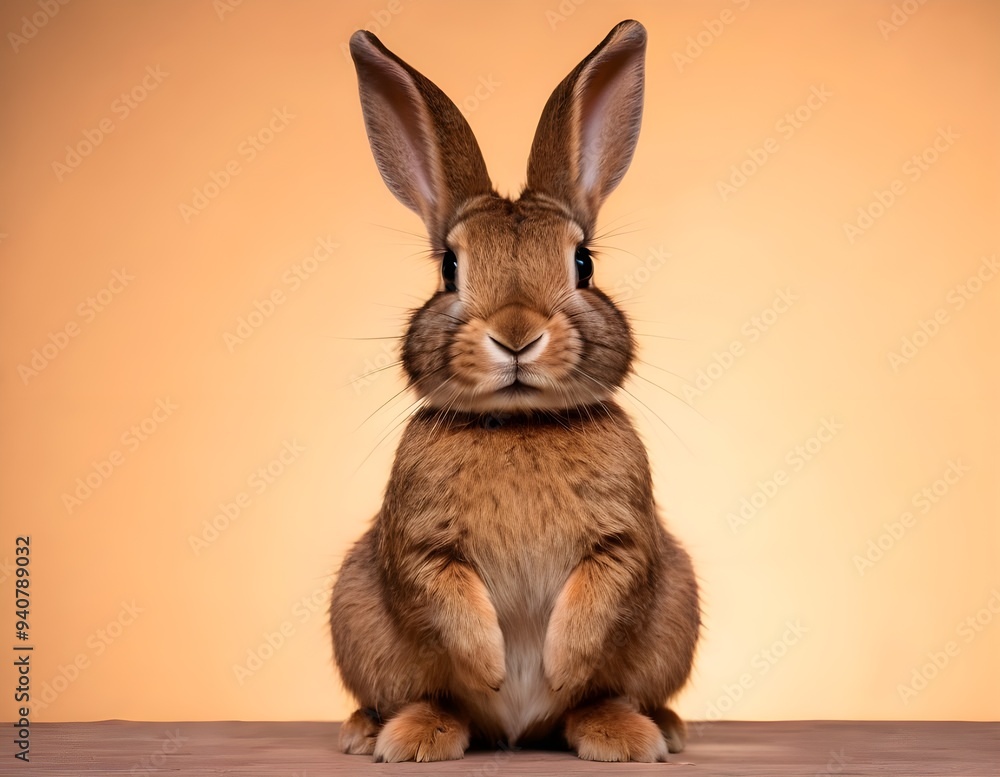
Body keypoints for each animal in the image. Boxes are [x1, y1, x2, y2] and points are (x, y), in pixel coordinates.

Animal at [329, 19, 700, 763]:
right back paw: (393, 734)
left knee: (592, 701)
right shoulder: (418, 545)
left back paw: (639, 732)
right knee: (427, 697)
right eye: (449, 267)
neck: (521, 420)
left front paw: (553, 668)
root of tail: (520, 733)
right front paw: (495, 669)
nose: (517, 332)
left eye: (584, 262)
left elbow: (598, 599)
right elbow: (446, 599)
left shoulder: (626, 540)